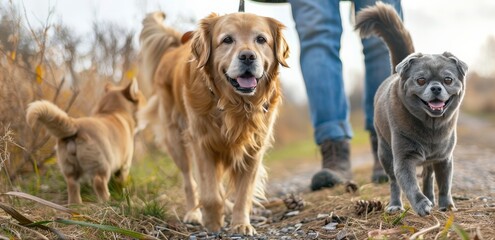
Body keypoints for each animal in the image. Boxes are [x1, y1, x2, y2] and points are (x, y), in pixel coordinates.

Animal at [138, 11, 288, 234]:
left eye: (261, 39)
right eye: (227, 40)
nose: (248, 57)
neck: (234, 105)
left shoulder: (254, 147)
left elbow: (244, 192)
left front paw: (241, 224)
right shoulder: (202, 143)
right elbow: (209, 193)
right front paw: (213, 222)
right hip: (175, 139)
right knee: (189, 181)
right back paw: (193, 214)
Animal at [356, 2, 468, 216]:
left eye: (448, 80)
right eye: (421, 80)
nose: (436, 87)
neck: (431, 126)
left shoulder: (444, 159)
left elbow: (444, 184)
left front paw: (446, 204)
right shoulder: (404, 159)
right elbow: (408, 184)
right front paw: (421, 203)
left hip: (430, 160)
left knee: (427, 176)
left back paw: (431, 197)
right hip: (385, 153)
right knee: (394, 183)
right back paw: (395, 205)